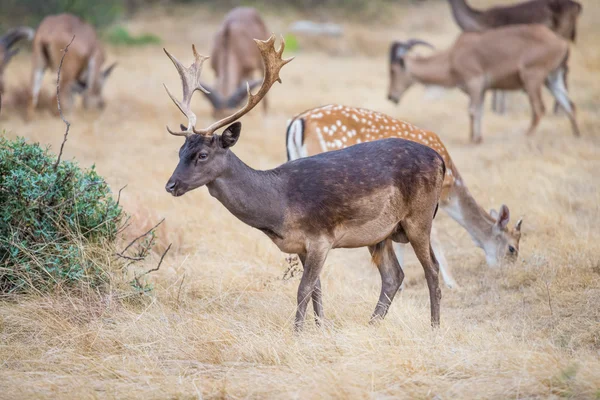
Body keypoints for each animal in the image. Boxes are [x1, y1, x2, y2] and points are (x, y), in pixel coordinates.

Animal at [163, 36, 446, 332]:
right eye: (180, 151)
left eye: (202, 155)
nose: (171, 185)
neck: (279, 207)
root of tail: (439, 159)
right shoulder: (301, 245)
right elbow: (317, 289)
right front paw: (320, 328)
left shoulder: (321, 238)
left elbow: (303, 288)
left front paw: (297, 332)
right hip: (381, 234)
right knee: (393, 275)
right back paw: (372, 324)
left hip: (420, 217)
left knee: (432, 268)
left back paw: (434, 327)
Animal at [288, 104, 524, 290]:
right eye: (512, 248)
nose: (506, 273)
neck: (451, 186)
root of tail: (297, 122)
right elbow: (434, 236)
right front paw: (453, 283)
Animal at [386, 25, 580, 144]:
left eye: (393, 70)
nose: (391, 96)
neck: (451, 58)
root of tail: (561, 43)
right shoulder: (482, 90)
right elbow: (479, 111)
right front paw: (478, 138)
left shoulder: (475, 82)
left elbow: (472, 111)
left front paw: (473, 139)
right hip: (553, 79)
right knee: (569, 105)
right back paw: (576, 134)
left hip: (532, 77)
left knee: (539, 108)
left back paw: (527, 136)